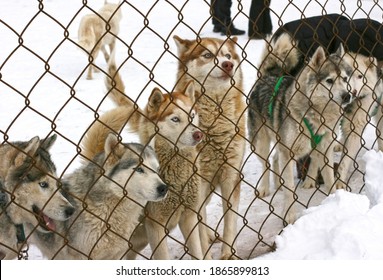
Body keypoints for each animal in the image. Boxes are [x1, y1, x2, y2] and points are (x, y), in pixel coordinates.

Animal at [81, 59, 206, 260]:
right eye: (175, 119)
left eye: (192, 115)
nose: (198, 135)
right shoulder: (155, 226)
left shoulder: (189, 217)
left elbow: (198, 253)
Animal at [173, 36, 248, 260]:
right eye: (207, 55)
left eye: (228, 55)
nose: (228, 65)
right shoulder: (198, 182)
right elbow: (198, 227)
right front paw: (206, 255)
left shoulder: (231, 176)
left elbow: (230, 220)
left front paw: (228, 254)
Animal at [249, 34, 354, 223]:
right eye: (329, 80)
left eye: (344, 78)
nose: (347, 96)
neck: (317, 113)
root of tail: (267, 77)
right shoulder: (288, 152)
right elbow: (290, 188)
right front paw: (289, 215)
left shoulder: (325, 148)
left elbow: (329, 178)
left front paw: (335, 200)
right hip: (260, 143)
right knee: (266, 164)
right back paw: (265, 187)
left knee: (275, 158)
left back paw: (283, 182)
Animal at [336, 52, 383, 189]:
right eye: (344, 76)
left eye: (360, 76)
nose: (353, 92)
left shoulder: (355, 129)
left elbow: (345, 161)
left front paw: (339, 183)